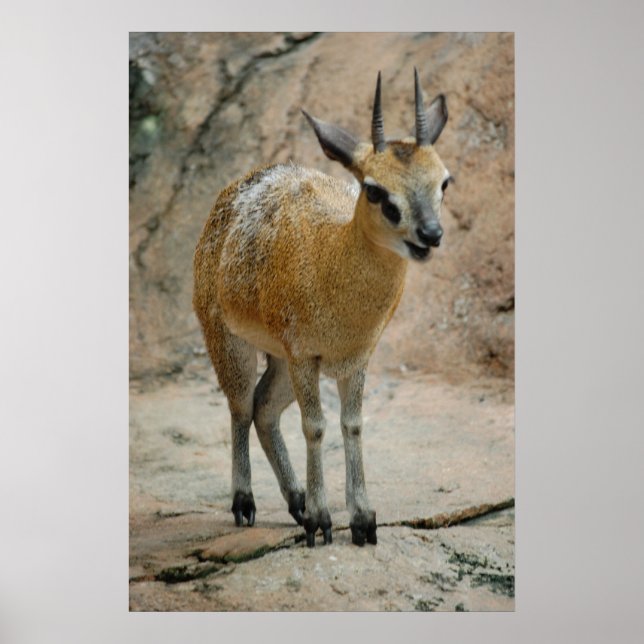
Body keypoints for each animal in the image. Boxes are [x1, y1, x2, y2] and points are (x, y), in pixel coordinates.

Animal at [193, 69, 451, 547]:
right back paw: (246, 503)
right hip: (230, 340)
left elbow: (352, 423)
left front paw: (362, 519)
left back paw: (294, 502)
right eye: (375, 190)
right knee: (241, 405)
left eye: (445, 180)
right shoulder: (305, 355)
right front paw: (322, 520)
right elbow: (315, 426)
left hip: (277, 359)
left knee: (263, 407)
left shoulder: (356, 357)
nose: (430, 233)